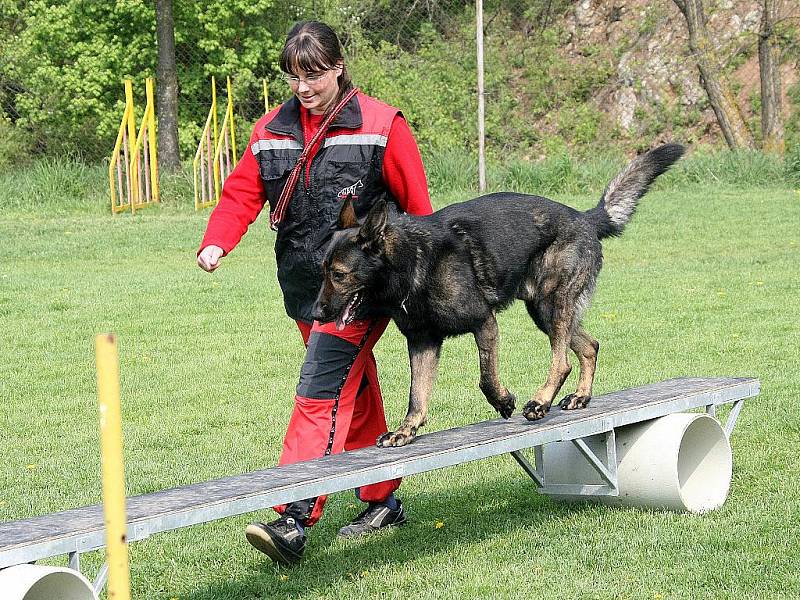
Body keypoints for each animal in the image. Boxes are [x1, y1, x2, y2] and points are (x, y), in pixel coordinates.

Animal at [310, 144, 684, 446]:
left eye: (339, 275)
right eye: (322, 272)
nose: (315, 314)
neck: (412, 263)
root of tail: (585, 217)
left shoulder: (484, 322)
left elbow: (486, 379)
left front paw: (504, 402)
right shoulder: (422, 343)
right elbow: (417, 393)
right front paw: (406, 431)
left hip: (552, 304)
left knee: (561, 360)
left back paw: (541, 401)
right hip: (543, 311)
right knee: (589, 346)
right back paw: (580, 397)